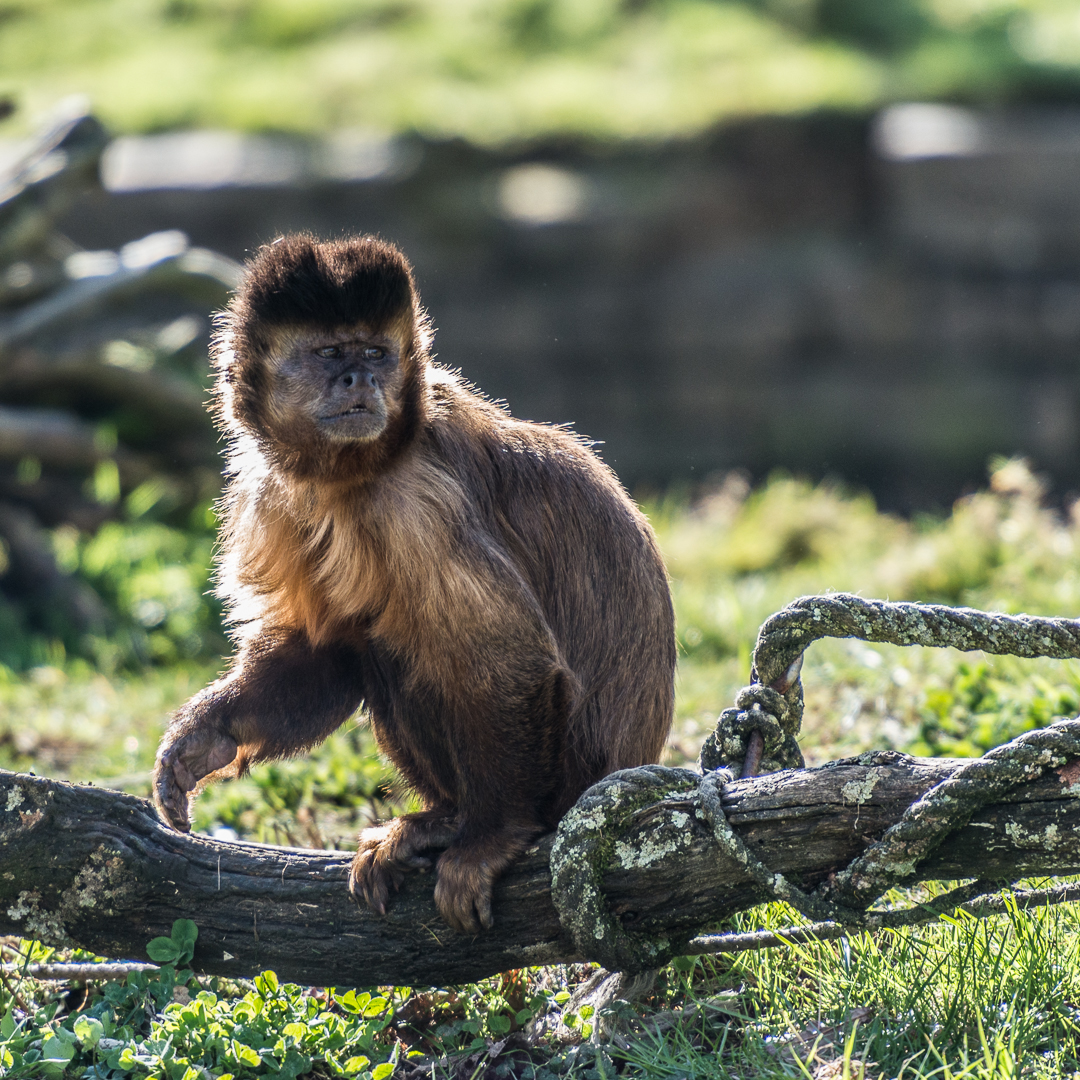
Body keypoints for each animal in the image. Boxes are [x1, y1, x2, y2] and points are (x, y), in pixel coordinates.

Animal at [152, 236, 673, 937]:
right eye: (330, 354)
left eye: (375, 352)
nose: (361, 379)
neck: (352, 476)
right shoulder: (275, 494)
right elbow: (323, 654)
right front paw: (207, 735)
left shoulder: (418, 502)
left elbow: (511, 662)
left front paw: (493, 837)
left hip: (571, 778)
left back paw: (466, 826)